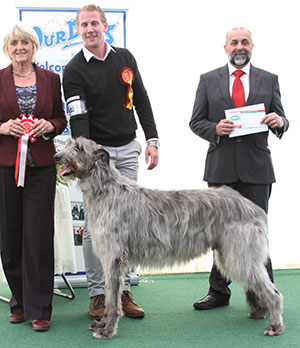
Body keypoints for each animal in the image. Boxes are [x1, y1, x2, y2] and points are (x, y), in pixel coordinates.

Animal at [55, 137, 284, 338]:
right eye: (68, 144)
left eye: (79, 148)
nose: (56, 156)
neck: (106, 190)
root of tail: (253, 206)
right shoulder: (111, 260)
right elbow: (110, 296)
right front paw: (101, 324)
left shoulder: (113, 259)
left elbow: (112, 300)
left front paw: (107, 330)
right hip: (231, 254)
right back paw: (260, 312)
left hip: (240, 254)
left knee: (273, 292)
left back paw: (275, 325)